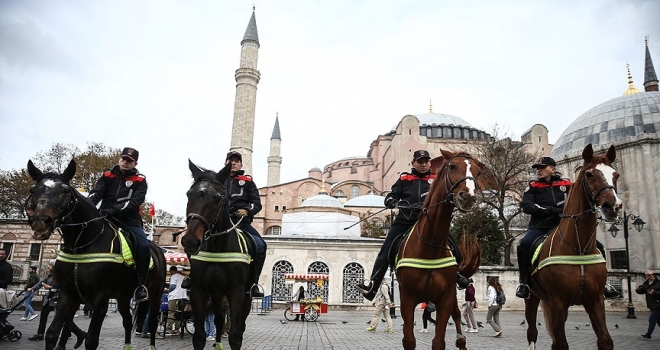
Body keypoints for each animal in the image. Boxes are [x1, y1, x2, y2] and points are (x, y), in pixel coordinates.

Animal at [26, 159, 166, 350]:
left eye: (65, 190)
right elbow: (52, 333)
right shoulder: (68, 294)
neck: (82, 244)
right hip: (123, 297)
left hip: (155, 294)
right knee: (128, 321)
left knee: (151, 321)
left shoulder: (101, 299)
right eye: (33, 190)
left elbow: (91, 340)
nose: (40, 221)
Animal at [180, 161, 253, 350]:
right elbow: (199, 336)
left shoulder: (237, 291)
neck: (217, 248)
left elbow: (235, 335)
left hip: (246, 295)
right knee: (219, 320)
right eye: (189, 194)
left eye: (218, 198)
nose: (190, 241)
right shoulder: (199, 290)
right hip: (217, 293)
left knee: (240, 325)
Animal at [398, 148, 490, 350]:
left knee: (457, 316)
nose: (468, 196)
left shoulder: (445, 299)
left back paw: (461, 340)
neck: (429, 246)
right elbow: (409, 340)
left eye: (478, 172)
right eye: (452, 166)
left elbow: (439, 341)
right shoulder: (406, 299)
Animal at [524, 144, 620, 348]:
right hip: (533, 297)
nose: (612, 206)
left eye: (616, 174)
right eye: (589, 174)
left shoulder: (595, 300)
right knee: (532, 332)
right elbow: (561, 344)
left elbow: (605, 340)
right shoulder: (558, 303)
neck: (579, 248)